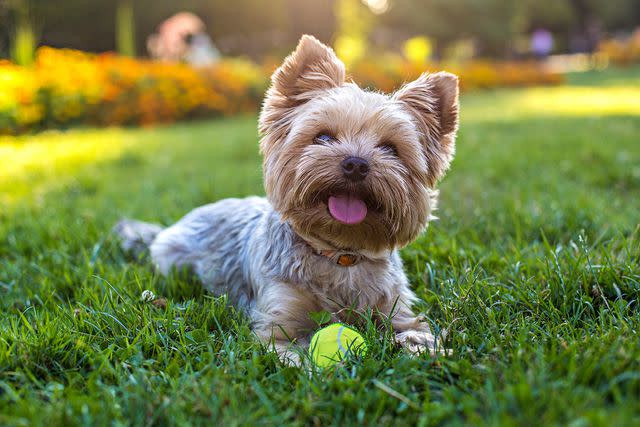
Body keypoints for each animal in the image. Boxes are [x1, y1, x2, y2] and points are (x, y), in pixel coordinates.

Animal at [112, 35, 458, 366]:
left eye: (390, 149)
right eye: (323, 137)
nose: (356, 164)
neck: (340, 254)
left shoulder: (396, 308)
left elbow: (415, 330)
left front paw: (427, 352)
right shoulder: (278, 321)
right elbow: (296, 354)